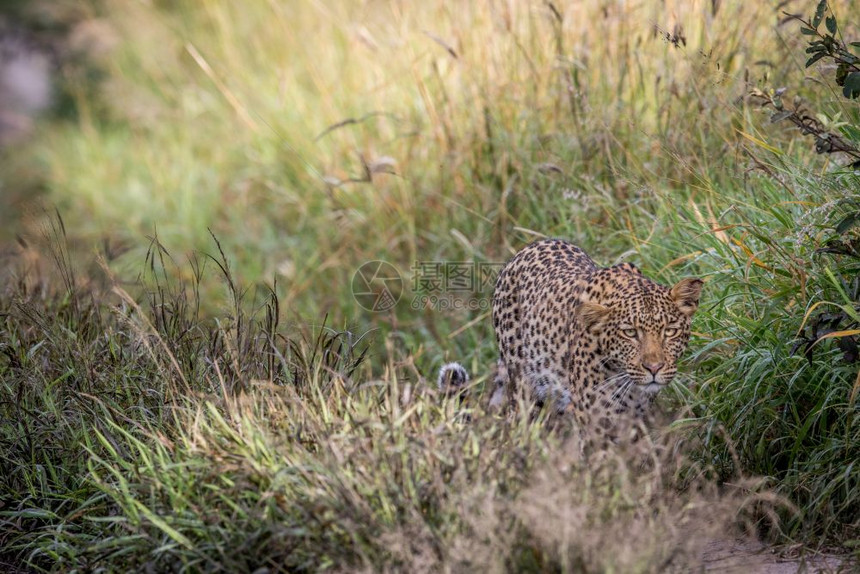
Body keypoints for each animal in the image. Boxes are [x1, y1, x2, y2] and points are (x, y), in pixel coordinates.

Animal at [440, 238, 704, 450]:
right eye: (630, 333)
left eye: (670, 331)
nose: (654, 368)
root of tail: (530, 246)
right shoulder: (595, 424)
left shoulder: (634, 420)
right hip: (523, 391)